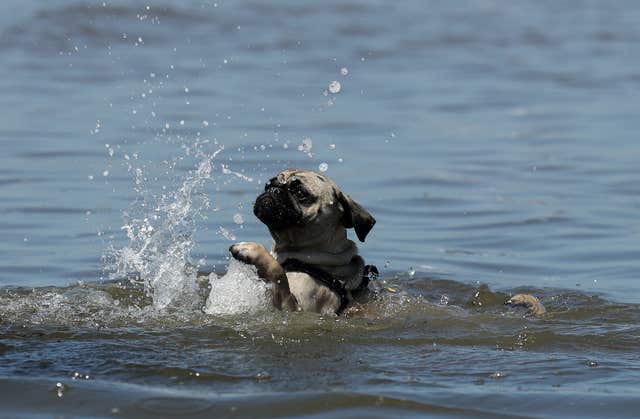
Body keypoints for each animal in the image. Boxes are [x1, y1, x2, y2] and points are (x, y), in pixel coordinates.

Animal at [229, 167, 376, 316]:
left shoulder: (293, 308)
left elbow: (279, 274)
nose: (273, 190)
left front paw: (251, 249)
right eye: (267, 186)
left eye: (299, 193)